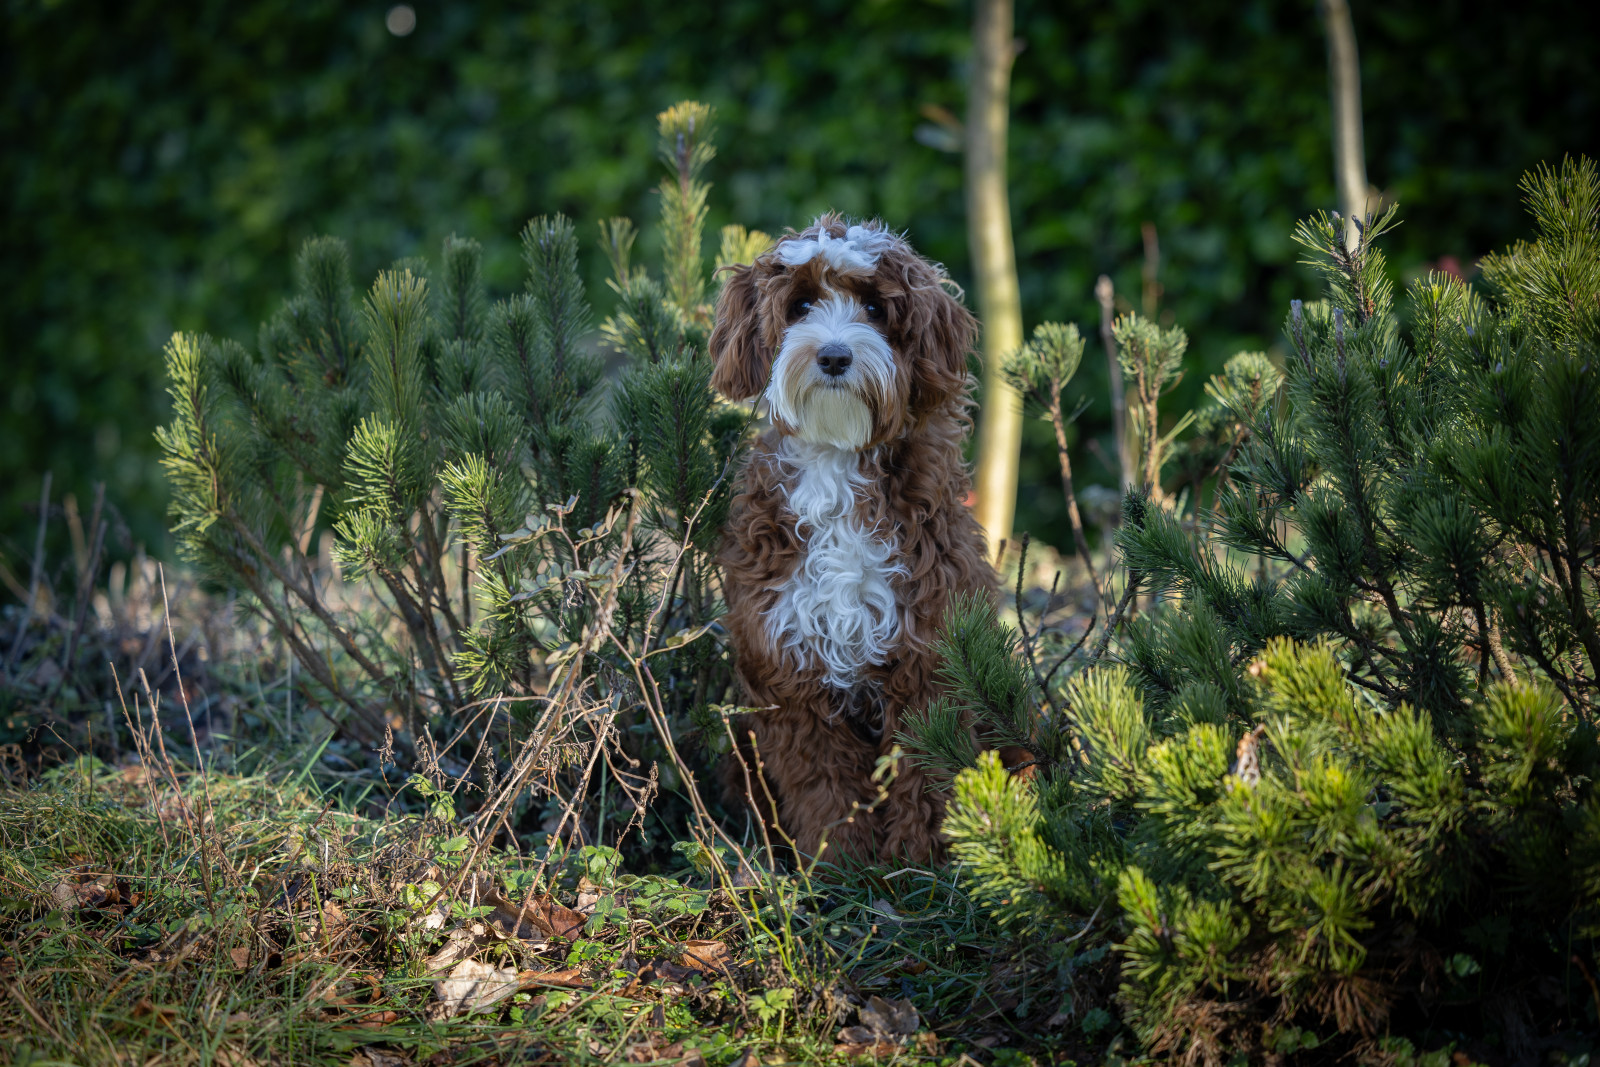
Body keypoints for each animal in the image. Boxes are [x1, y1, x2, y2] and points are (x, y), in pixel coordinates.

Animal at [708, 214, 995, 865]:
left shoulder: (929, 655)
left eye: (874, 306)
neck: (837, 458)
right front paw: (840, 864)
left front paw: (920, 863)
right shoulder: (789, 665)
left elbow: (926, 773)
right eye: (800, 304)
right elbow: (823, 781)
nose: (835, 355)